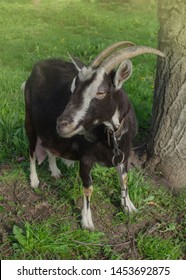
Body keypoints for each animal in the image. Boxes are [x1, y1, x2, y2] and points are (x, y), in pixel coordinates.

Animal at [23, 41, 164, 230]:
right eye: (73, 89)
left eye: (101, 92)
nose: (62, 124)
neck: (110, 135)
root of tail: (38, 65)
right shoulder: (86, 157)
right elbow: (88, 188)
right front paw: (87, 222)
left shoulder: (125, 152)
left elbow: (124, 179)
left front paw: (128, 206)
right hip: (30, 120)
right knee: (31, 151)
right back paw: (34, 180)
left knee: (50, 145)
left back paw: (55, 171)